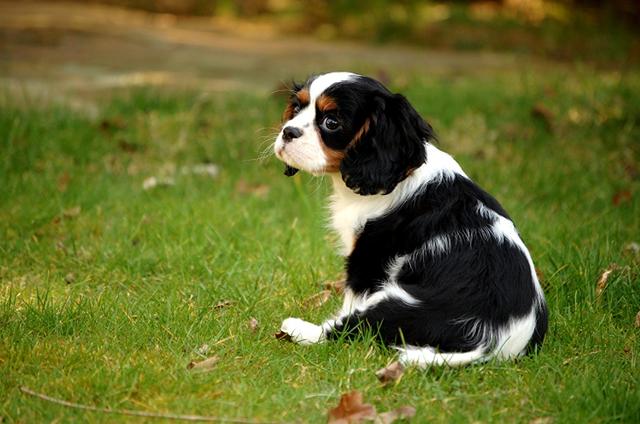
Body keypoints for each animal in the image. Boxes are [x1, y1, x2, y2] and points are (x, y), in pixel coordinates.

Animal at [272, 71, 548, 366]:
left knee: (354, 327)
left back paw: (300, 329)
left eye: (331, 123)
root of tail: (490, 343)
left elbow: (351, 300)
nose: (288, 131)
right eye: (296, 109)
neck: (400, 175)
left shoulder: (368, 258)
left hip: (399, 304)